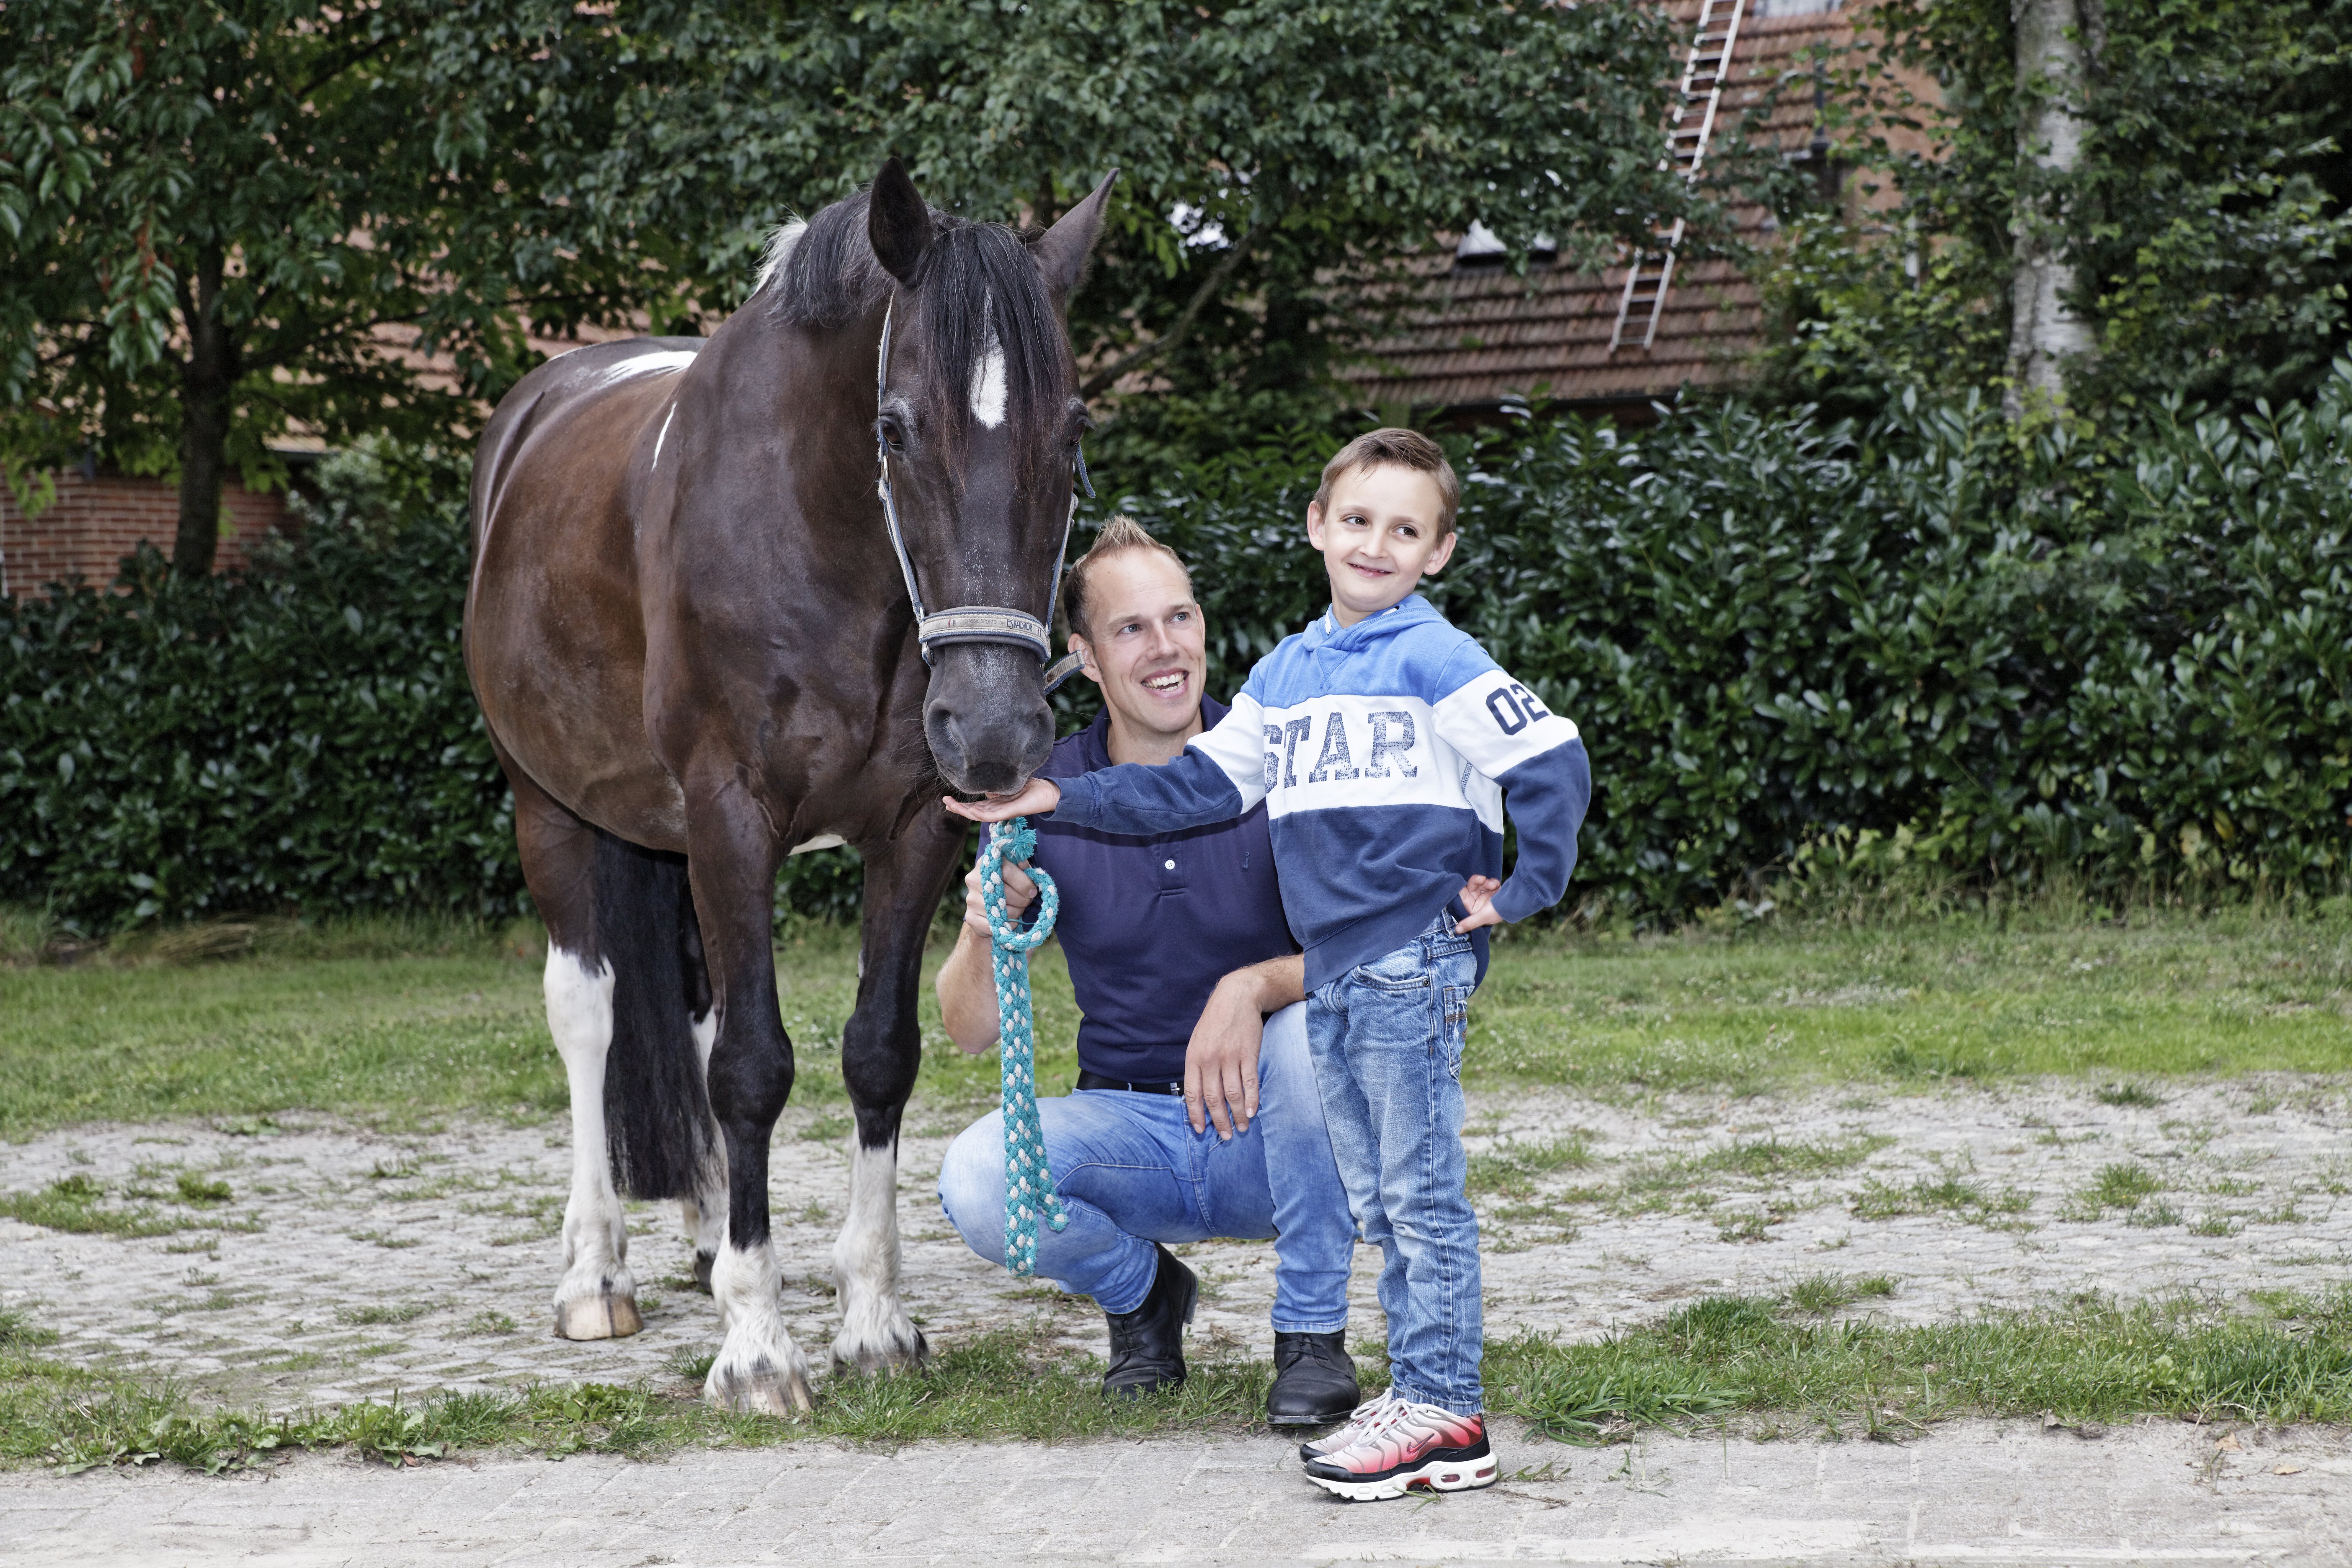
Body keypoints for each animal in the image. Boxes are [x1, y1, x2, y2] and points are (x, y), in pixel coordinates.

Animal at [464, 158, 1114, 1413]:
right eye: (895, 427)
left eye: (1074, 431)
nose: (995, 731)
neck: (820, 541)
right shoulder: (731, 816)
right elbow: (756, 1067)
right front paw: (758, 1347)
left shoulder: (914, 827)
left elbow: (876, 1052)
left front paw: (872, 1320)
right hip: (550, 807)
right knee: (589, 1012)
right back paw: (596, 1273)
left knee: (694, 1014)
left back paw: (710, 1234)